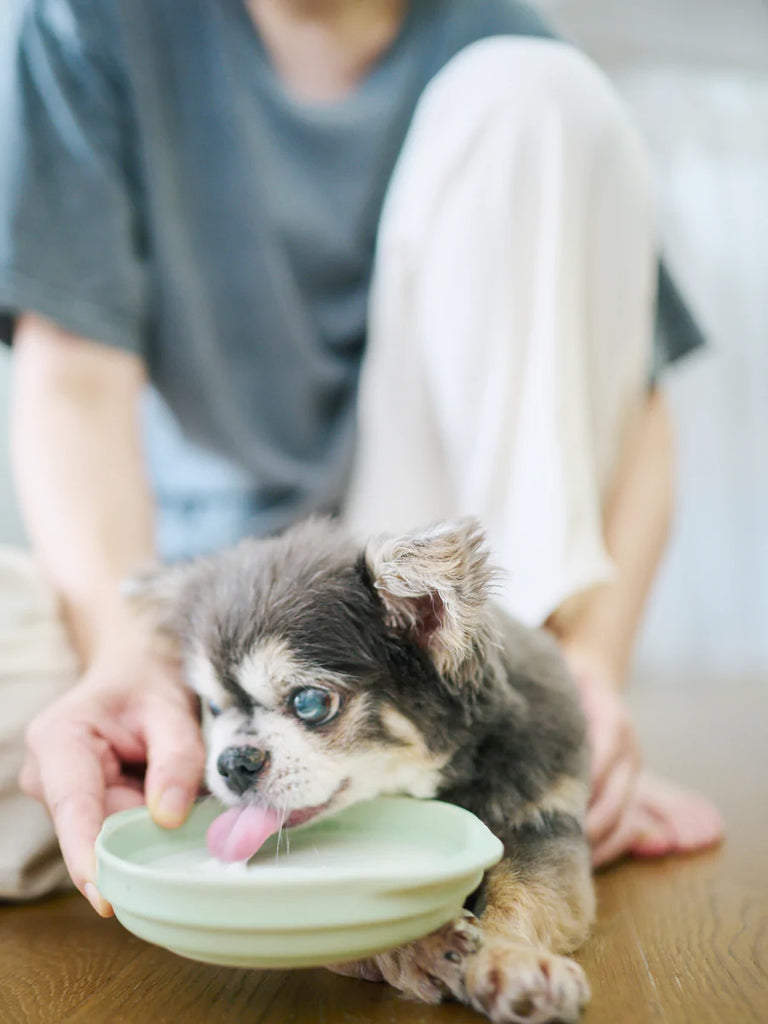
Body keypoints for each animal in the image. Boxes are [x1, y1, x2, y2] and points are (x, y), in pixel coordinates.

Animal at [132, 520, 598, 1024]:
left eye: (310, 703)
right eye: (214, 709)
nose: (232, 763)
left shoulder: (543, 820)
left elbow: (523, 892)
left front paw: (510, 960)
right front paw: (428, 945)